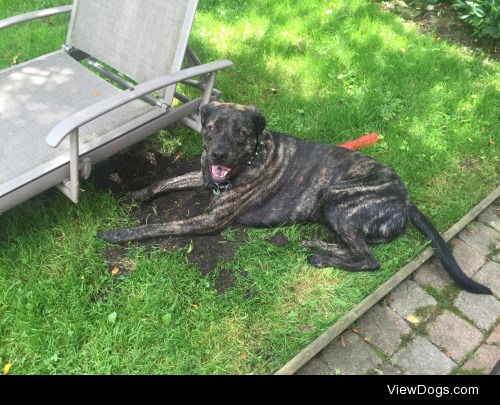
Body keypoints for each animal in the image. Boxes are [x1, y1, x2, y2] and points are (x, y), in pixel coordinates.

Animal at [100, 101, 492, 294]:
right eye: (211, 128)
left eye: (241, 133)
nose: (218, 155)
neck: (251, 158)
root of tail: (406, 198)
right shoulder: (201, 176)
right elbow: (165, 182)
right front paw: (134, 193)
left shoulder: (210, 220)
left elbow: (160, 225)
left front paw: (119, 233)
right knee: (359, 247)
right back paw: (316, 243)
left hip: (335, 197)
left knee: (369, 259)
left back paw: (322, 257)